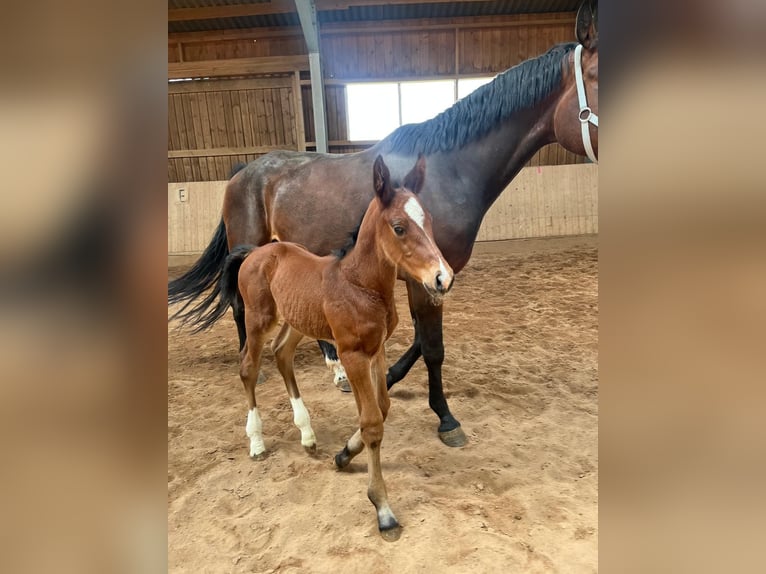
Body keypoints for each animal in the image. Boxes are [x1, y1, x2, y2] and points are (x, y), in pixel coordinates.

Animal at [168, 1, 598, 448]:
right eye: (597, 76)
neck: (450, 170)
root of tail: (243, 170)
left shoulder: (432, 278)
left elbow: (419, 341)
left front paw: (388, 377)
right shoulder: (424, 280)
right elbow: (432, 347)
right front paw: (446, 418)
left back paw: (335, 368)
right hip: (250, 249)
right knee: (239, 309)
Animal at [212, 155, 452, 541]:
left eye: (428, 220)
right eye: (399, 227)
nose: (442, 278)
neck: (360, 285)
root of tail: (255, 252)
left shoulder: (376, 350)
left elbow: (382, 408)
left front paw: (343, 454)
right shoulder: (352, 354)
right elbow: (372, 422)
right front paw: (383, 509)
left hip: (297, 322)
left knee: (282, 354)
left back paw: (307, 433)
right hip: (259, 319)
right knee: (248, 366)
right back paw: (257, 442)